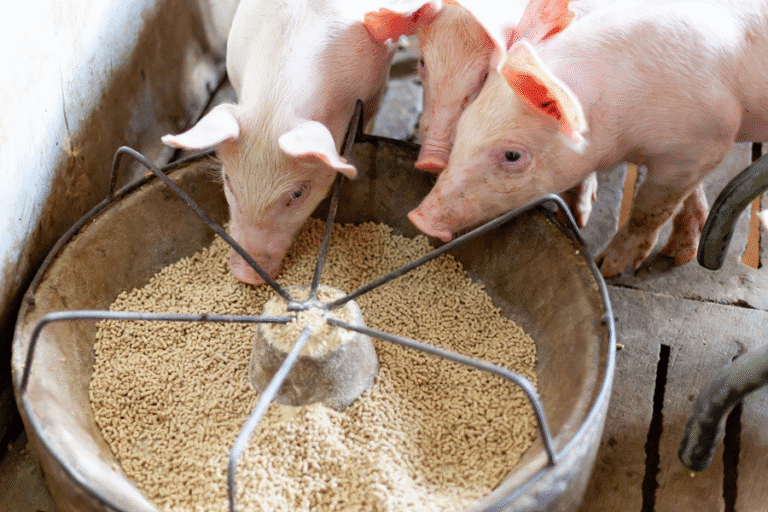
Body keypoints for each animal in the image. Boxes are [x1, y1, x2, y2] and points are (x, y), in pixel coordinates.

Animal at [407, 0, 768, 277]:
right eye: (463, 128)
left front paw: (609, 268)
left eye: (512, 156)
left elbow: (650, 209)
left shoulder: (705, 145)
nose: (419, 218)